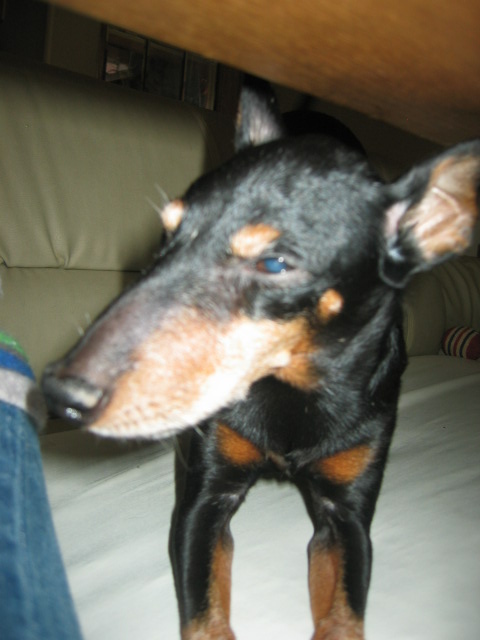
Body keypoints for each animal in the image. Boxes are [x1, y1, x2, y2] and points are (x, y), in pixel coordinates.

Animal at [42, 79, 480, 639]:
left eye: (274, 264)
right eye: (166, 236)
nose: (60, 394)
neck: (290, 387)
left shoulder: (346, 519)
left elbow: (344, 613)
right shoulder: (205, 505)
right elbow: (205, 615)